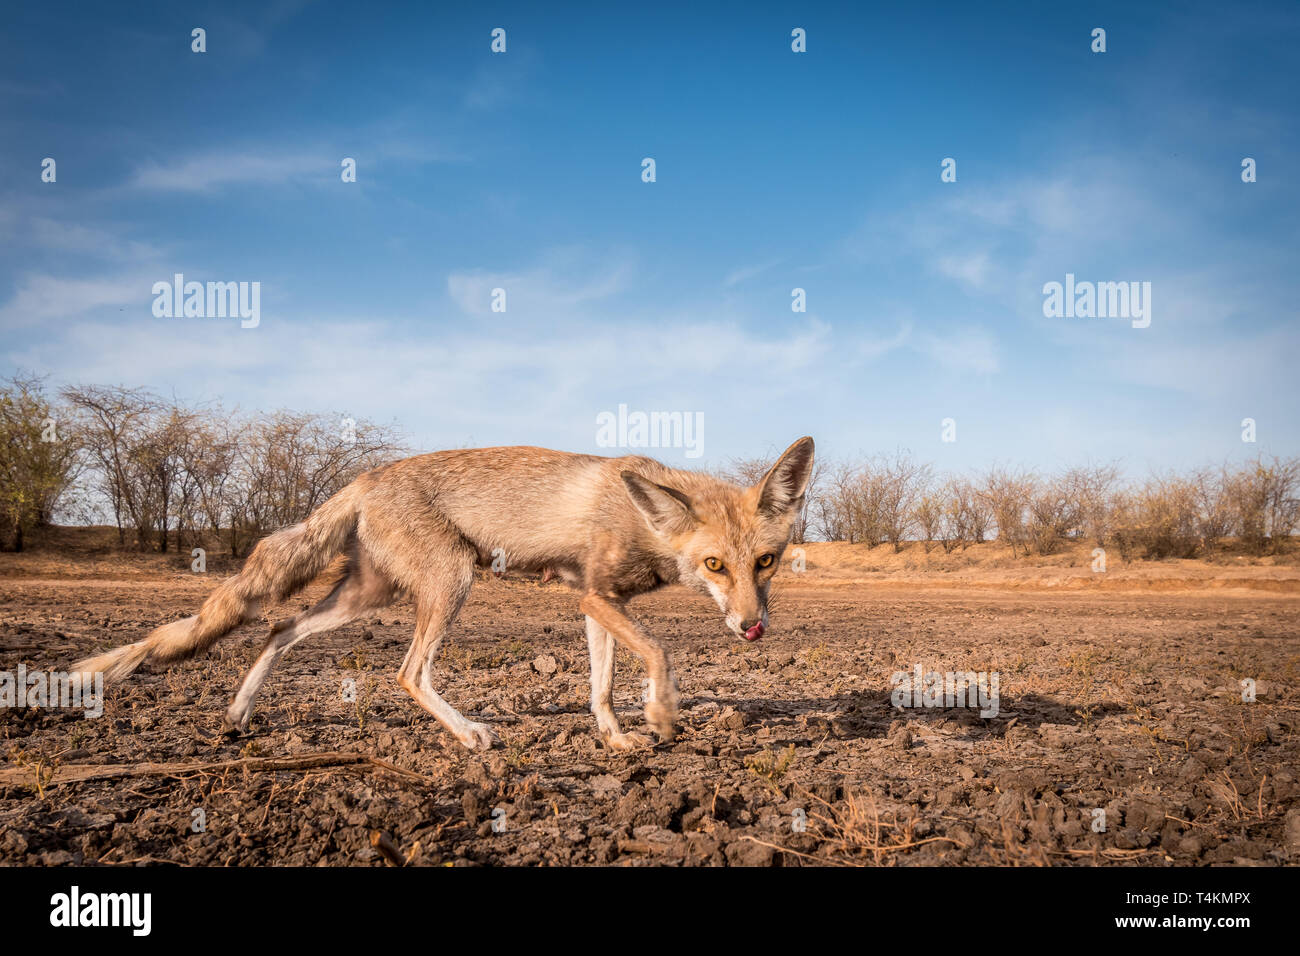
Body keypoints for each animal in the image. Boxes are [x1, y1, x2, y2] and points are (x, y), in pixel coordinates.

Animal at [71, 437, 811, 749]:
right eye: (714, 565)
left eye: (765, 562)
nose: (752, 628)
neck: (644, 518)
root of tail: (365, 478)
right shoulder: (597, 598)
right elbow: (659, 654)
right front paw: (660, 718)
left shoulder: (601, 603)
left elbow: (601, 686)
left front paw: (618, 739)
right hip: (450, 583)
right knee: (406, 673)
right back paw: (469, 735)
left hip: (366, 597)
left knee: (279, 629)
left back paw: (238, 713)